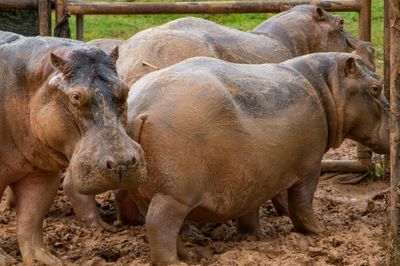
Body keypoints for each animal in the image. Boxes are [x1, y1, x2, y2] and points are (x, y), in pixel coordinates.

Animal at [0, 30, 147, 264]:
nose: (122, 164)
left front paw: (47, 260)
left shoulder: (42, 174)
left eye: (125, 89)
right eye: (76, 96)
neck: (32, 81)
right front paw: (5, 260)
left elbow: (31, 220)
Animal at [126, 53, 390, 264]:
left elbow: (252, 207)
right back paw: (174, 262)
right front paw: (319, 231)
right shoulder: (310, 166)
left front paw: (254, 236)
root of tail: (140, 110)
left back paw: (192, 257)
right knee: (160, 226)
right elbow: (302, 203)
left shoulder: (252, 174)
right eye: (376, 87)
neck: (326, 85)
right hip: (173, 197)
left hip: (147, 193)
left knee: (165, 227)